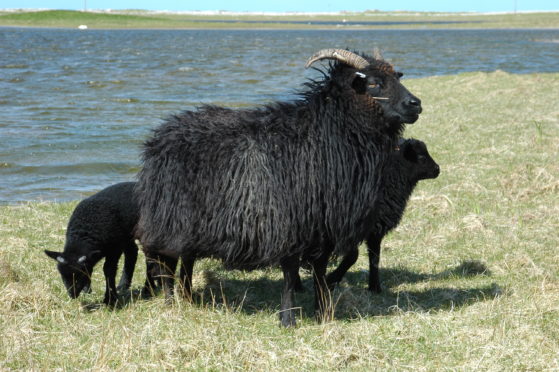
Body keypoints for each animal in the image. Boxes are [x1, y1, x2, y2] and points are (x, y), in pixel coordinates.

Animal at [136, 48, 422, 326]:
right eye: (373, 83)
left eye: (397, 77)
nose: (416, 104)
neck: (324, 134)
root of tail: (160, 135)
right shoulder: (289, 225)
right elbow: (290, 274)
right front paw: (288, 319)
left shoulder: (323, 226)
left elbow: (320, 272)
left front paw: (323, 312)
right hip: (169, 218)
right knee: (166, 262)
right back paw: (171, 303)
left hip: (191, 223)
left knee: (186, 259)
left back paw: (188, 297)